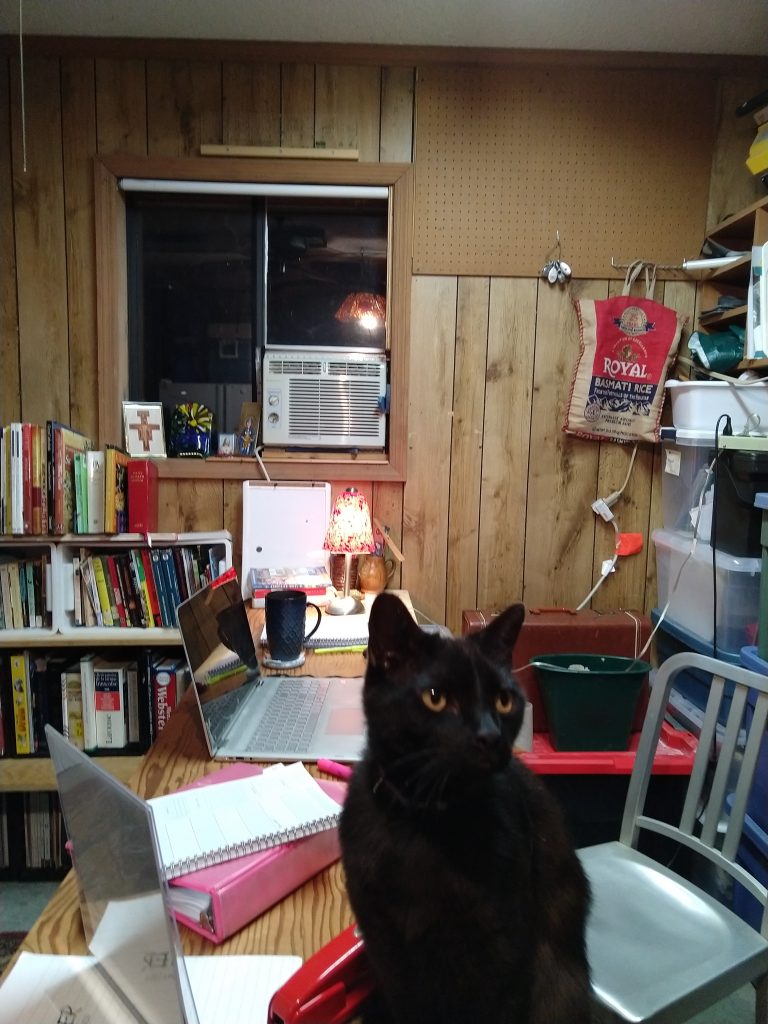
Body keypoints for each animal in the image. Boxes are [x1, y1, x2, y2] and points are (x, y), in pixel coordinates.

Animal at [339, 593, 593, 1024]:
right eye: (435, 698)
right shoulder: (387, 950)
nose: (490, 736)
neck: (426, 823)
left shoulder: (503, 950)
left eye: (503, 701)